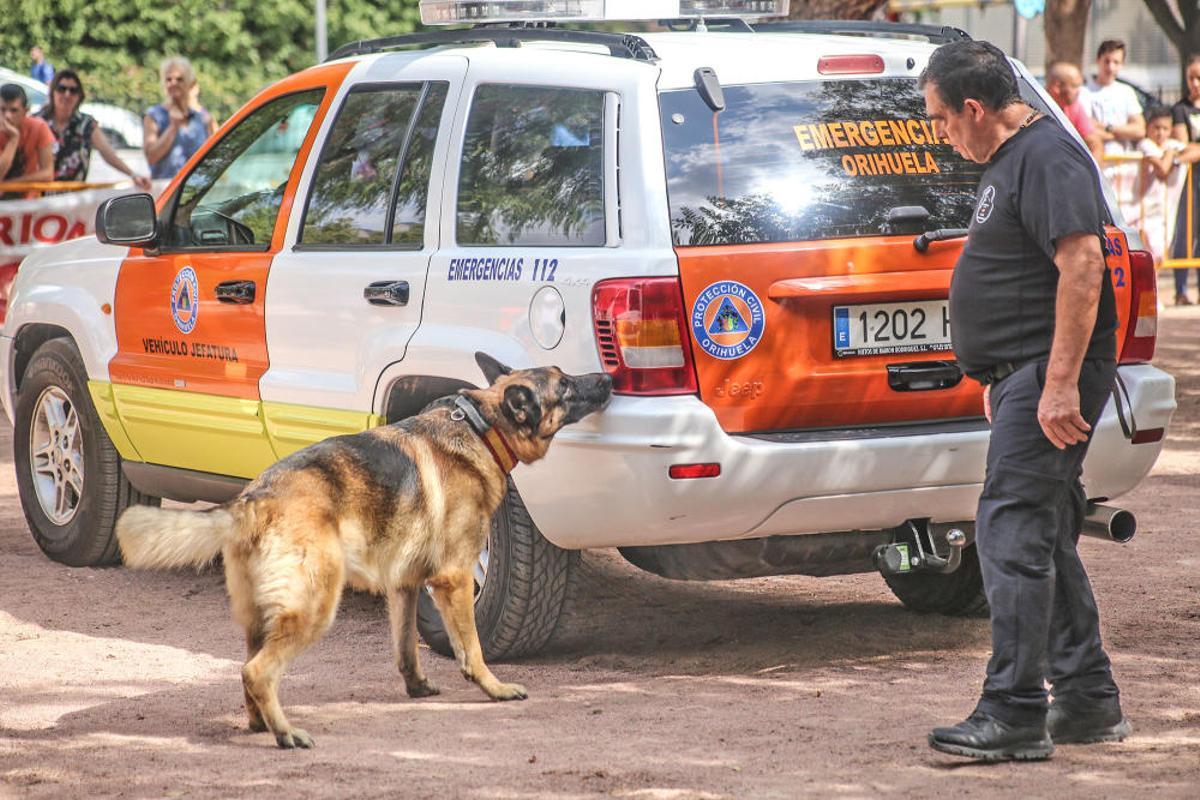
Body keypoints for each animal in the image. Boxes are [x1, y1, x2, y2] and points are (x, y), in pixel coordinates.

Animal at [116, 353, 612, 749]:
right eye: (565, 385)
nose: (607, 378)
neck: (482, 426)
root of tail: (253, 500)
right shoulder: (454, 579)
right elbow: (471, 649)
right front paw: (495, 688)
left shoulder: (407, 586)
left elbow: (406, 648)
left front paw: (417, 687)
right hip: (316, 606)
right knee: (258, 671)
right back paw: (286, 734)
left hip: (261, 618)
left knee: (248, 668)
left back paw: (260, 723)